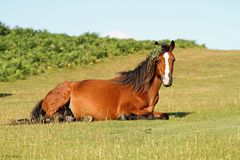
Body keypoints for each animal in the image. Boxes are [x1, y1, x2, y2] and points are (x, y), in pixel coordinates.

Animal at [31, 40, 175, 123]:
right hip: (62, 98)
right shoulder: (127, 108)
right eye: (159, 60)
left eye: (173, 60)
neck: (142, 90)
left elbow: (164, 115)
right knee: (48, 118)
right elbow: (149, 115)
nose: (168, 80)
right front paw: (124, 117)